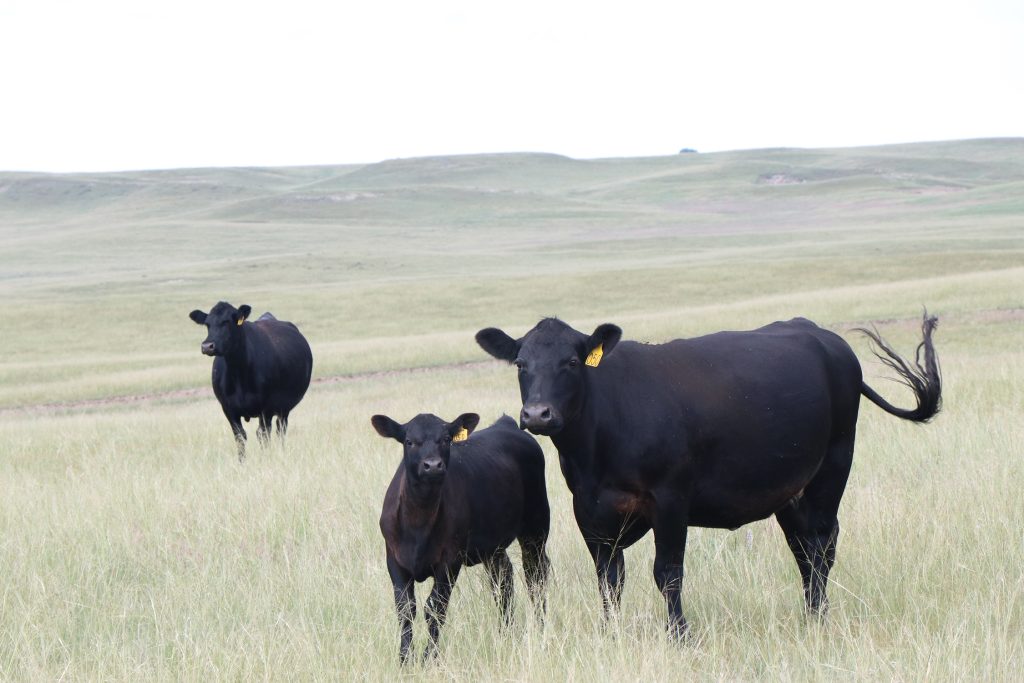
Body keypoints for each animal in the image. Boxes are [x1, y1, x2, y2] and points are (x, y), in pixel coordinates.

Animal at [189, 301, 312, 461]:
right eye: (207, 324)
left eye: (227, 321)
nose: (207, 346)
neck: (238, 374)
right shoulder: (228, 408)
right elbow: (240, 436)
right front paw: (242, 462)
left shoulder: (266, 407)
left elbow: (263, 434)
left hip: (284, 407)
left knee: (280, 429)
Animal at [372, 413, 551, 664]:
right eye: (409, 441)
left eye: (446, 439)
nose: (433, 465)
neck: (419, 522)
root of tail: (507, 424)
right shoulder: (394, 558)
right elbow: (405, 609)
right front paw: (405, 659)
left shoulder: (450, 560)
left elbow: (435, 608)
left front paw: (429, 658)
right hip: (493, 545)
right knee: (503, 578)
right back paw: (505, 632)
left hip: (536, 526)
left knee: (536, 574)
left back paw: (540, 629)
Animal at [475, 314, 941, 638]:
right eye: (520, 364)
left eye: (571, 361)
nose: (537, 414)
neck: (597, 447)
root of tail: (823, 336)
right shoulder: (589, 510)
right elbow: (609, 579)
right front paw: (610, 634)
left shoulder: (670, 500)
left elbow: (667, 572)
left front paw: (679, 635)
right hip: (791, 490)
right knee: (804, 549)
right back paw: (810, 613)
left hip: (833, 467)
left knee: (823, 545)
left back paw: (818, 617)